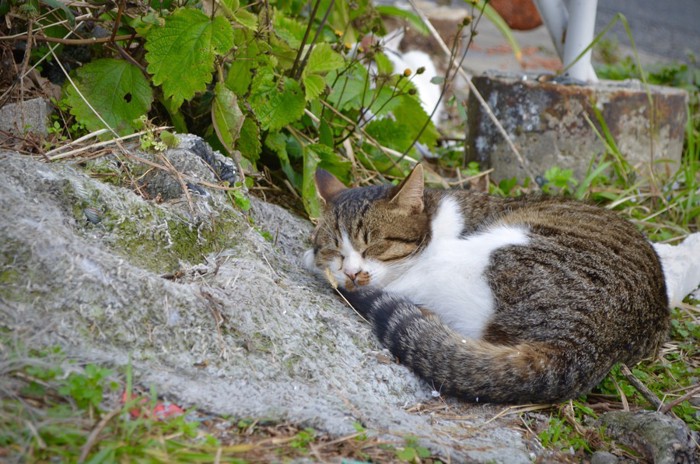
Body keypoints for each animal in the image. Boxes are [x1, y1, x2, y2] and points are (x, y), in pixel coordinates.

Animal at [304, 166, 668, 402]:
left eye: (374, 245)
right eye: (335, 248)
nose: (351, 272)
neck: (438, 220)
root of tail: (585, 343)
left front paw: (316, 263)